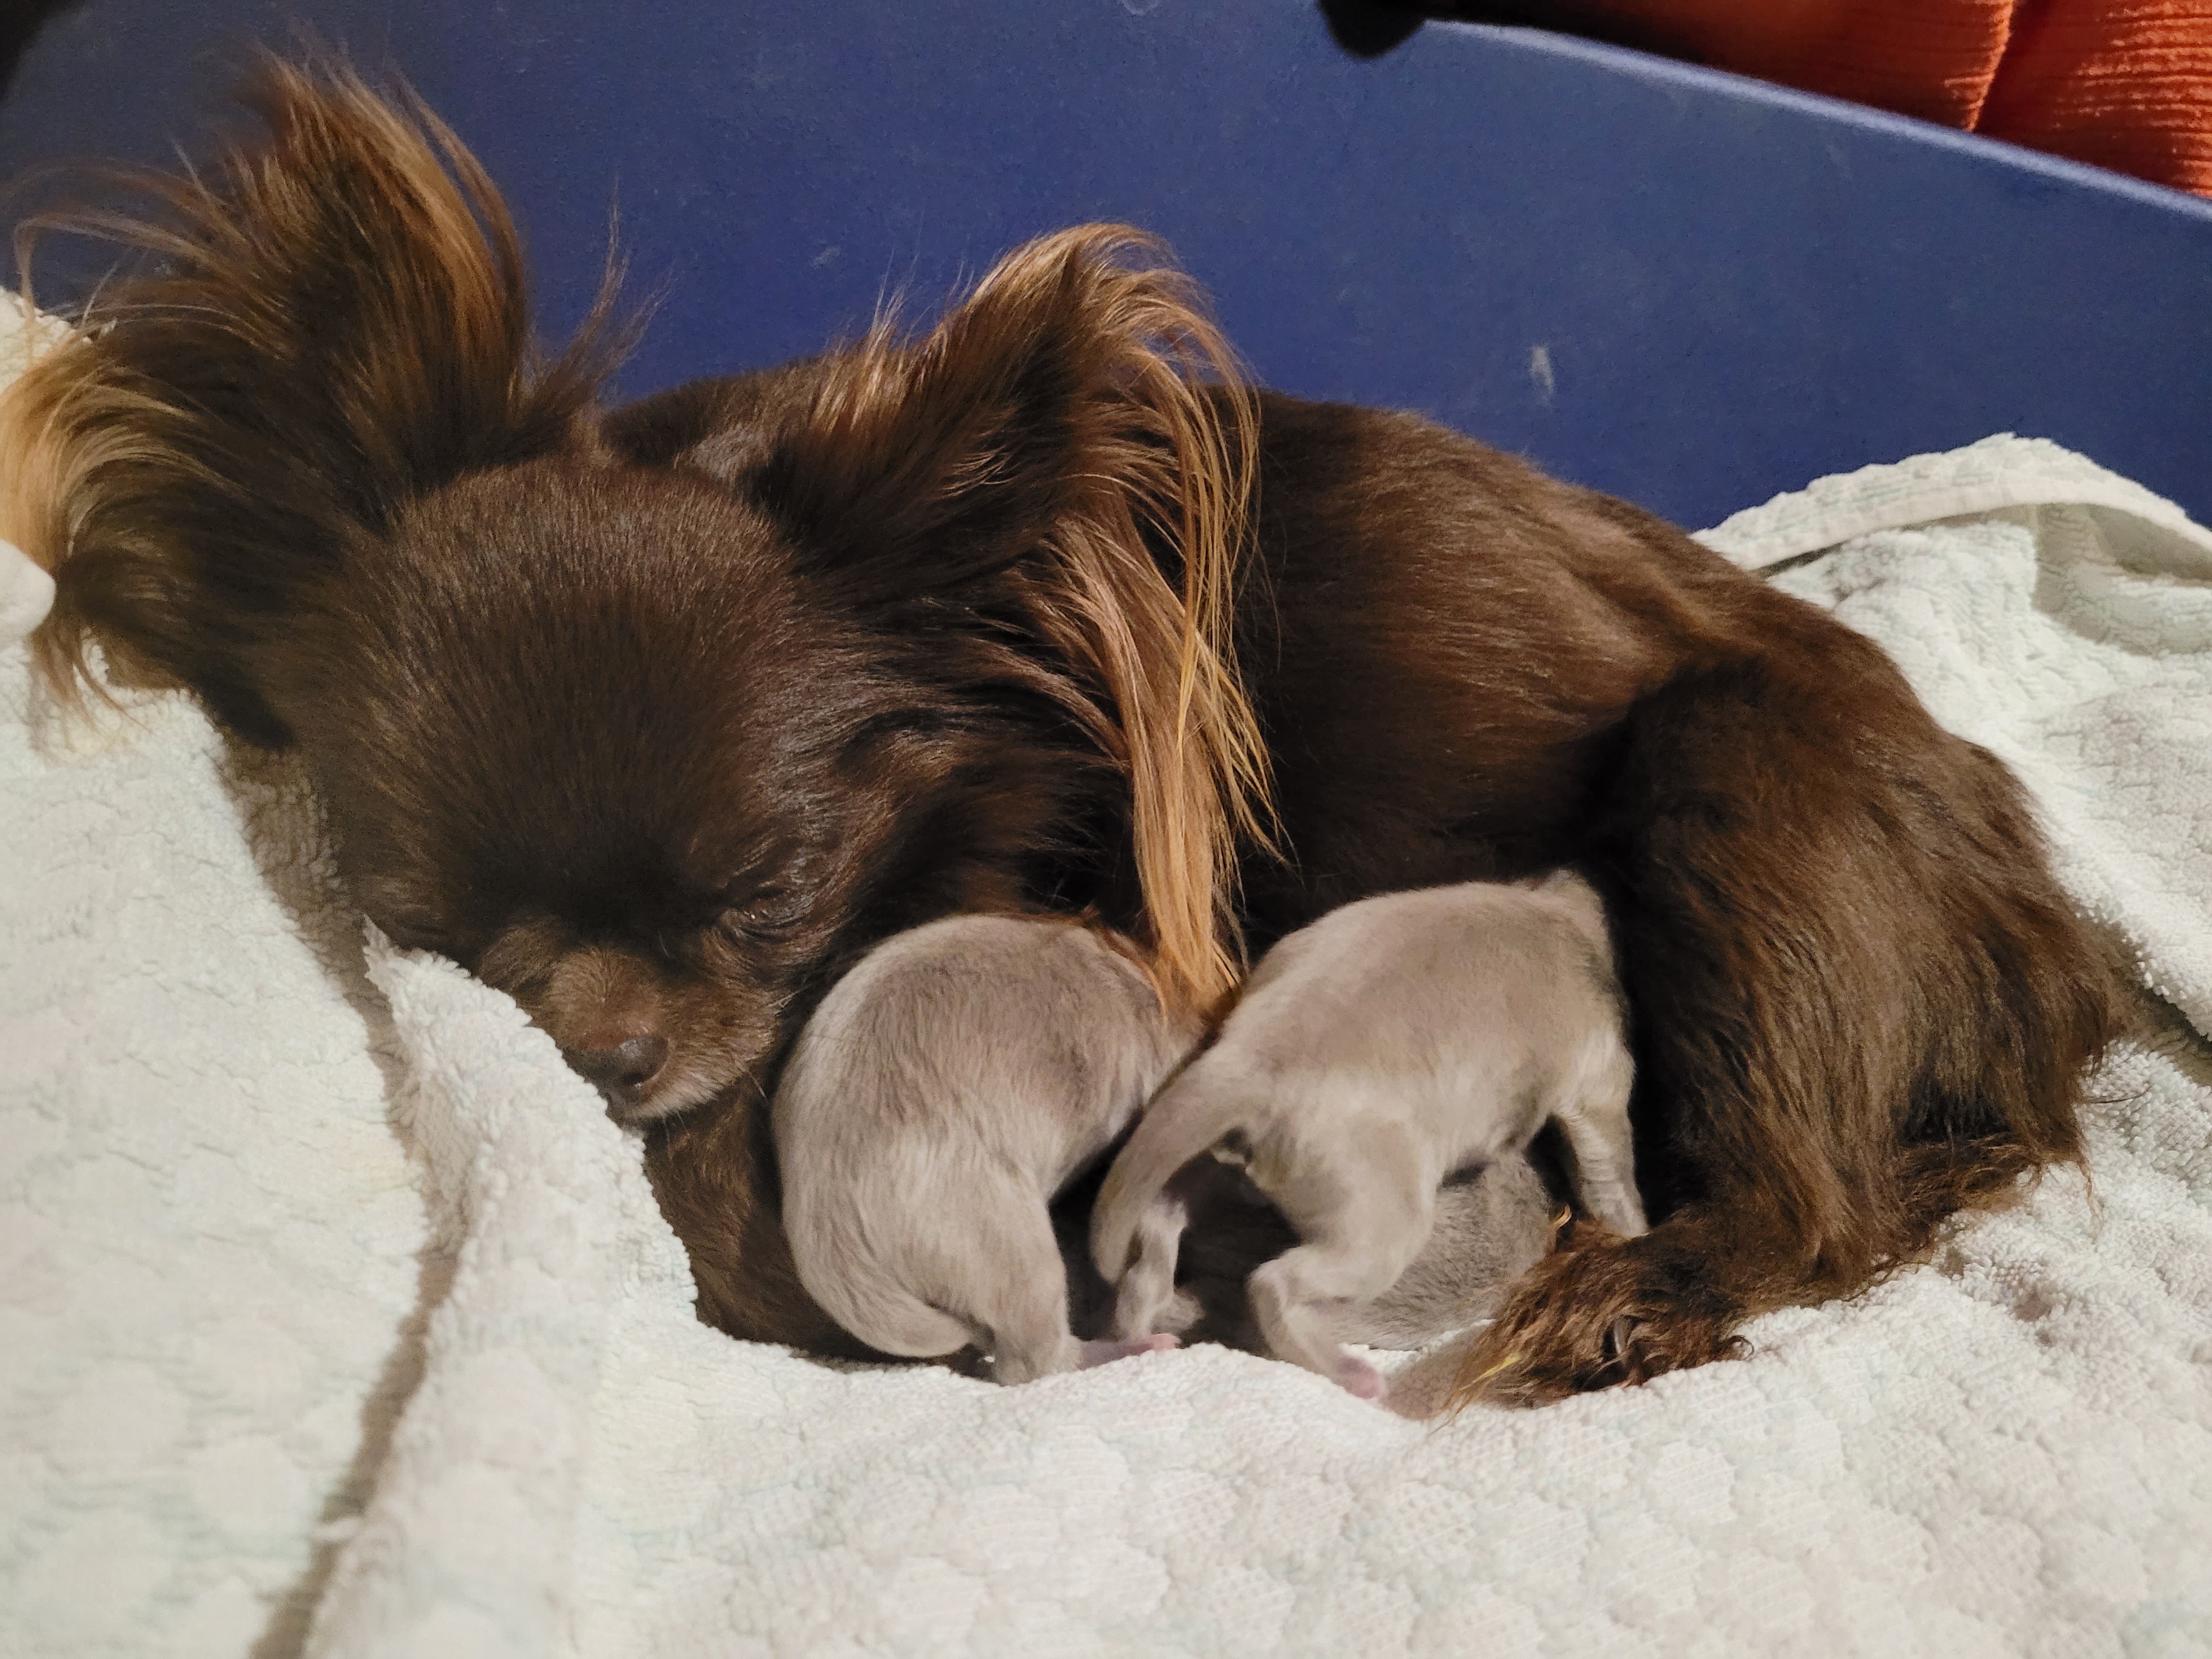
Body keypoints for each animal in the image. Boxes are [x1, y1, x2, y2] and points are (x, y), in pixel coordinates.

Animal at [1093, 874, 1642, 1399]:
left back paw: (1139, 1332)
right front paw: (1636, 1233)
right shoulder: (1598, 1080)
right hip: (1378, 1220)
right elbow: (1609, 1172)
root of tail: (1247, 1060)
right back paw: (1355, 1375)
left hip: (1207, 1163)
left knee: (1158, 1231)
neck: (1553, 911)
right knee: (1273, 1284)